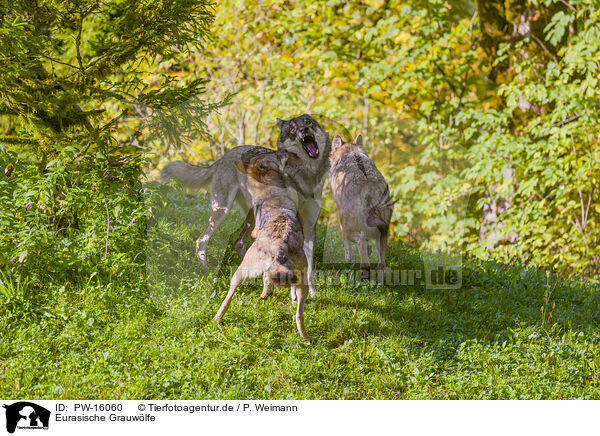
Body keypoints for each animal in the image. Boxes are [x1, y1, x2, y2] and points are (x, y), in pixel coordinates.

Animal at [211, 152, 314, 342]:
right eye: (277, 155)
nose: (285, 152)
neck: (271, 189)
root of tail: (281, 246)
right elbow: (267, 277)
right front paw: (267, 293)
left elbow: (266, 277)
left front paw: (266, 292)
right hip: (303, 284)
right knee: (299, 315)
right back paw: (306, 338)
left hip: (240, 272)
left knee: (227, 298)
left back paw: (215, 320)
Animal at [328, 133, 394, 282]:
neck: (351, 152)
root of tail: (369, 187)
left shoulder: (340, 217)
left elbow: (347, 245)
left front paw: (349, 259)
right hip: (384, 232)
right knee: (381, 263)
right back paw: (379, 284)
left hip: (349, 225)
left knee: (360, 240)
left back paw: (364, 273)